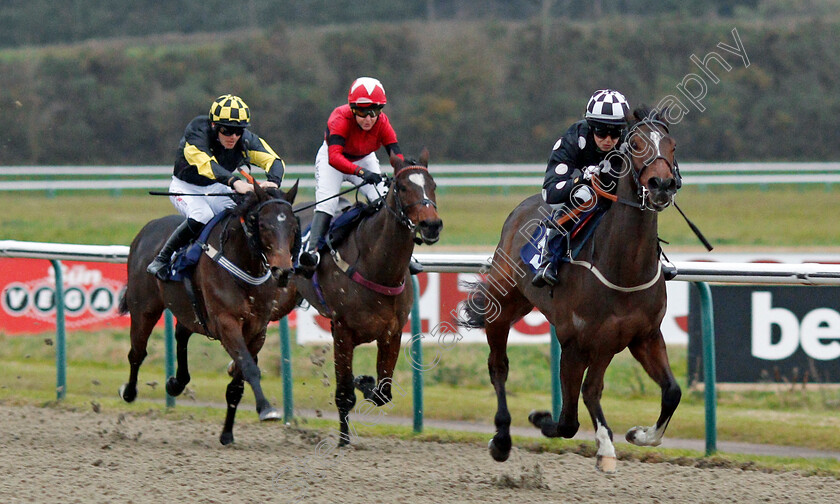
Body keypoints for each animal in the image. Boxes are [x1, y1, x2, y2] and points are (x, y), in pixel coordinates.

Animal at [116, 181, 300, 444]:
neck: (243, 265)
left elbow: (238, 381)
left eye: (293, 226)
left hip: (189, 310)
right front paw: (266, 409)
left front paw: (227, 432)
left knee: (181, 333)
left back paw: (176, 382)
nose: (283, 271)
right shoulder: (226, 322)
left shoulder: (257, 330)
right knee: (137, 352)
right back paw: (129, 392)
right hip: (144, 308)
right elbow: (249, 367)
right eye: (263, 225)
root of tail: (146, 230)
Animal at [292, 150, 442, 444]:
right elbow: (344, 393)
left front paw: (364, 381)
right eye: (402, 187)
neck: (378, 269)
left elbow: (383, 392)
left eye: (433, 185)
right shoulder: (342, 330)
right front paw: (343, 440)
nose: (432, 225)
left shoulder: (392, 332)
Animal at [460, 106, 684, 472]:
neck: (623, 269)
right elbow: (569, 418)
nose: (662, 184)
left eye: (672, 145)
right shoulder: (575, 341)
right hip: (502, 306)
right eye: (636, 144)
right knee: (499, 367)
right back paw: (502, 439)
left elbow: (670, 391)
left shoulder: (642, 336)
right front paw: (552, 424)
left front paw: (639, 435)